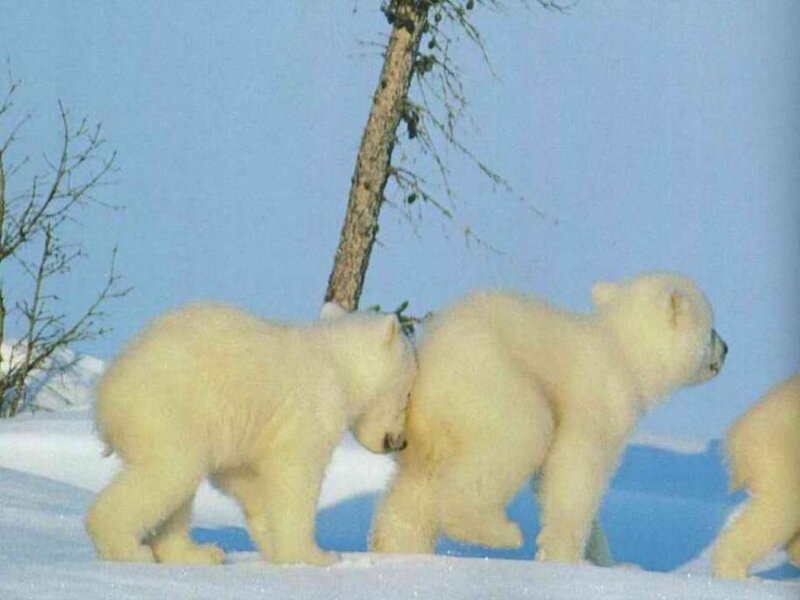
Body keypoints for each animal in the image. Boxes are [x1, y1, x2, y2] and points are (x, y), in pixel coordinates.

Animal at [86, 302, 416, 567]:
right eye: (408, 394)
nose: (400, 441)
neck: (337, 363)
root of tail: (105, 396)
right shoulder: (311, 411)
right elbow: (295, 477)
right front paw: (316, 556)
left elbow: (244, 479)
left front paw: (274, 542)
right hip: (168, 410)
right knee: (172, 470)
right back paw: (128, 549)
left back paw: (199, 554)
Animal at [370, 272, 727, 564]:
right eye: (711, 327)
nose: (726, 349)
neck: (624, 352)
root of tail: (428, 367)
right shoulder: (597, 402)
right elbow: (573, 476)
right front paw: (563, 557)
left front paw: (610, 563)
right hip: (493, 386)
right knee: (522, 436)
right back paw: (502, 532)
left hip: (426, 432)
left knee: (414, 491)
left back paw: (399, 551)